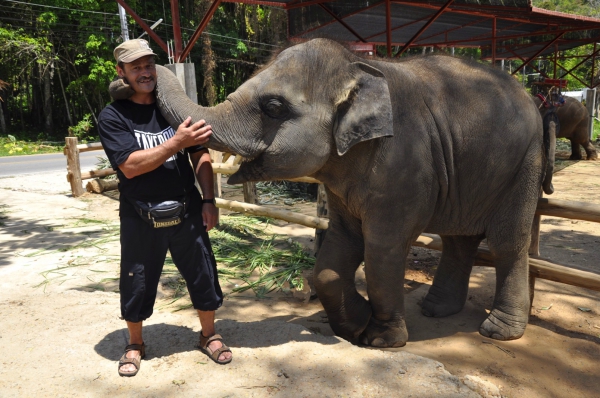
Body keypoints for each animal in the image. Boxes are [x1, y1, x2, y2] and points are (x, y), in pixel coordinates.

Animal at [109, 38, 552, 346]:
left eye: (273, 107)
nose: (124, 80)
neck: (360, 70)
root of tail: (530, 97)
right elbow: (336, 250)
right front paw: (353, 326)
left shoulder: (403, 164)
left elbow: (382, 249)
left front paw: (380, 340)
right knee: (459, 239)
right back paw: (435, 310)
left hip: (524, 163)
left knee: (507, 242)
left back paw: (498, 331)